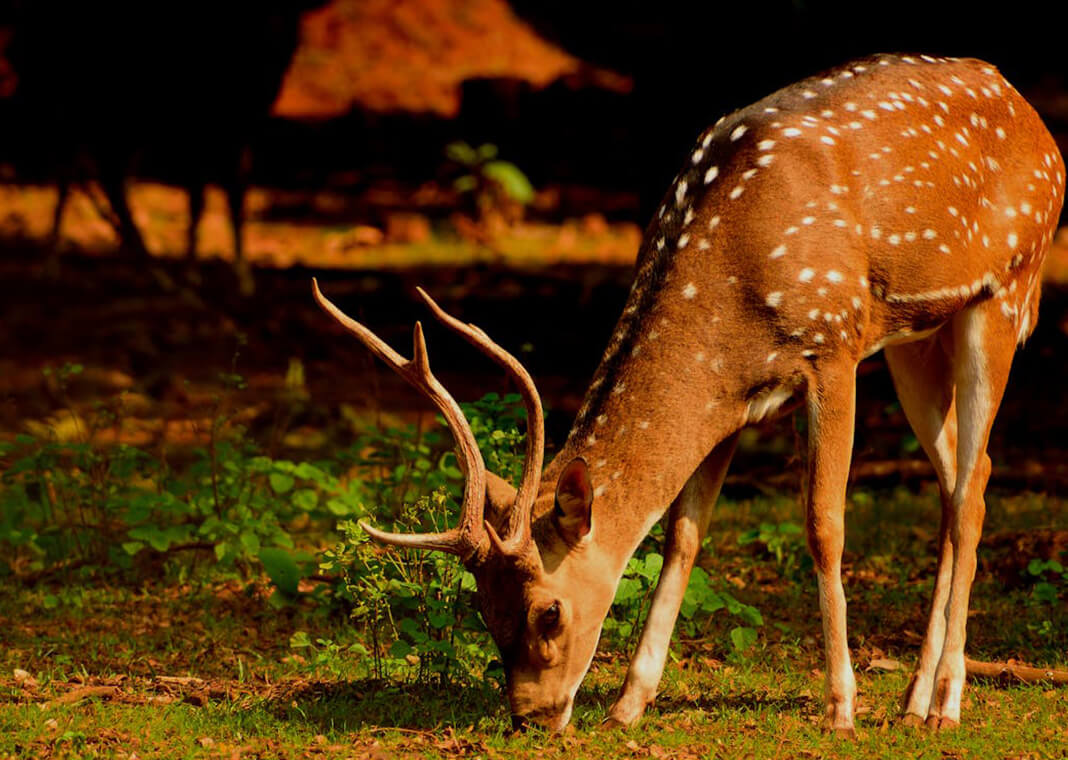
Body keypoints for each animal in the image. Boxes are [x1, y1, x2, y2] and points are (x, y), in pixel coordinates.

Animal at [311, 54, 1063, 734]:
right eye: (483, 609)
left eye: (548, 612)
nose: (531, 716)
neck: (728, 294)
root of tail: (1033, 117)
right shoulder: (733, 400)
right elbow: (682, 536)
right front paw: (628, 705)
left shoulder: (834, 346)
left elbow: (824, 526)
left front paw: (841, 709)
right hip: (917, 337)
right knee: (964, 478)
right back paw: (911, 701)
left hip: (1006, 290)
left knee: (972, 492)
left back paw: (945, 704)